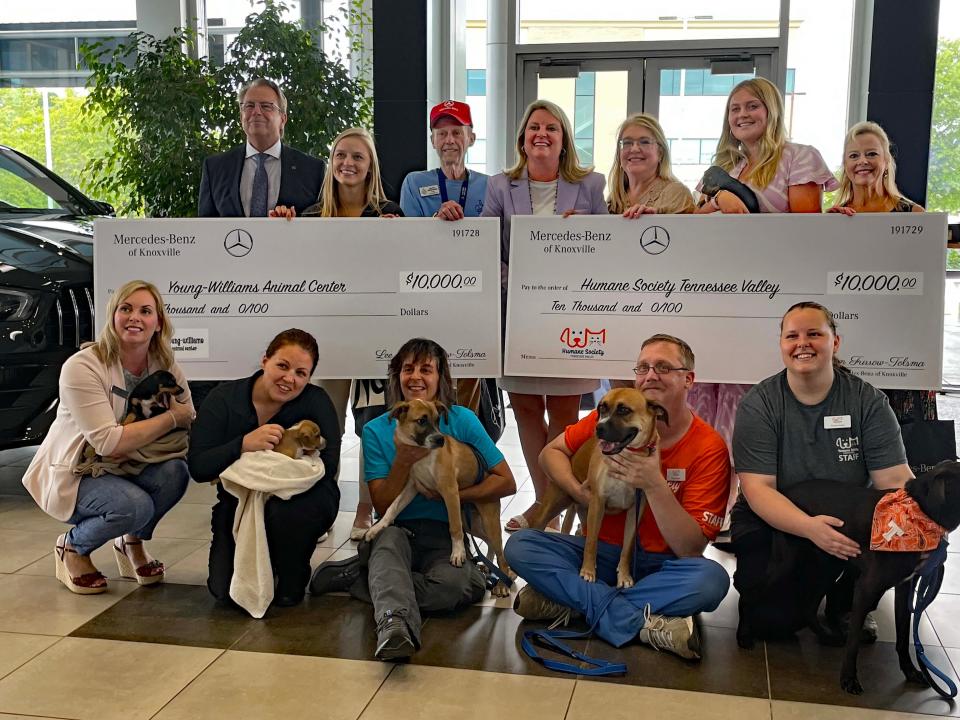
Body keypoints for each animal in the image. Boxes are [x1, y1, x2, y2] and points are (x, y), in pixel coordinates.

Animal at [362, 400, 512, 596]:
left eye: (437, 419)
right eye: (421, 420)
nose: (440, 440)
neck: (423, 455)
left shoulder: (450, 491)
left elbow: (454, 528)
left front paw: (458, 553)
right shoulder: (412, 487)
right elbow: (392, 508)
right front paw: (377, 528)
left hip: (488, 519)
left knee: (501, 552)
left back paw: (502, 583)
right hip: (471, 522)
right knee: (490, 543)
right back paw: (488, 566)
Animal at [528, 390, 664, 588]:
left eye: (624, 410)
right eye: (602, 408)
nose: (598, 428)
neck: (625, 458)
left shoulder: (635, 511)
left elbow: (627, 547)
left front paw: (624, 575)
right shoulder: (598, 503)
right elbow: (591, 543)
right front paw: (588, 571)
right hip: (551, 508)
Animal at [752, 464, 960, 696]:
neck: (917, 513)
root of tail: (787, 492)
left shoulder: (905, 588)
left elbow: (903, 635)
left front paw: (911, 671)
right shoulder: (866, 588)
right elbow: (853, 643)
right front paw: (848, 679)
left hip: (830, 564)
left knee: (809, 606)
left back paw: (827, 637)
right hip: (789, 562)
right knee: (759, 589)